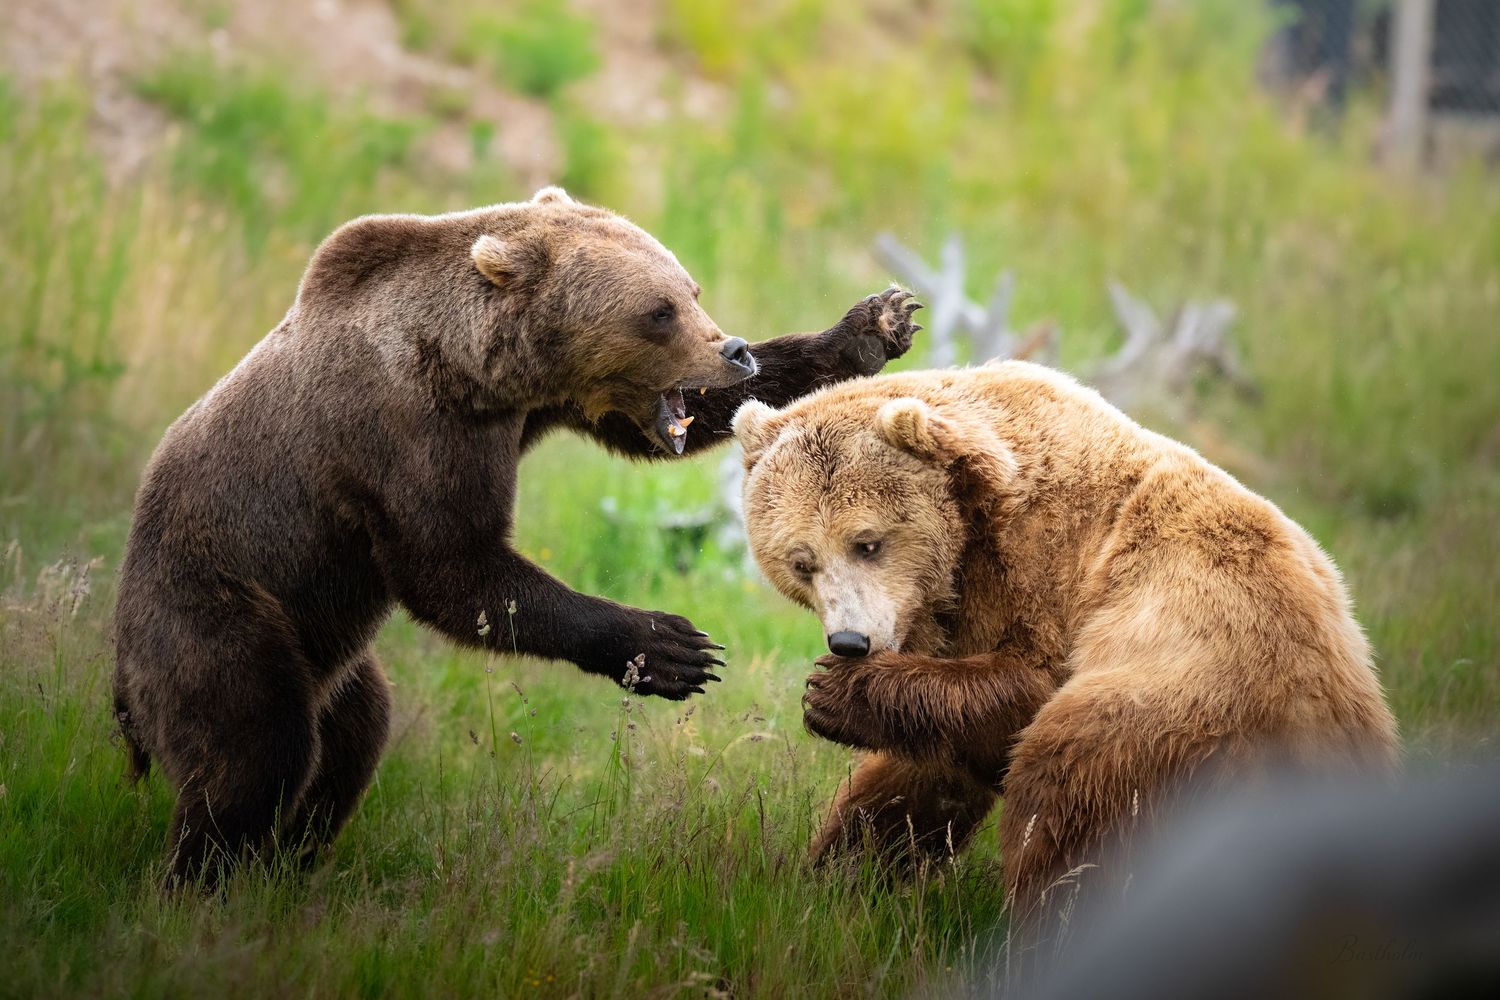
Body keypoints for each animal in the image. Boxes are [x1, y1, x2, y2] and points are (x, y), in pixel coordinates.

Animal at [111, 185, 923, 886]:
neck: (471, 367)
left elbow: (669, 429)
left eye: (690, 291)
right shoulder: (400, 434)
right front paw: (666, 646)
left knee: (352, 736)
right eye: (659, 310)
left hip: (327, 651)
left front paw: (874, 326)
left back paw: (292, 861)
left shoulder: (537, 404)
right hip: (222, 609)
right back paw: (204, 880)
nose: (734, 348)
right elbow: (452, 567)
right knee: (255, 749)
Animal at [732, 361, 1398, 931]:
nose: (849, 642)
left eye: (867, 543)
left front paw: (831, 695)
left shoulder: (1047, 563)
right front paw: (835, 873)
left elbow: (1021, 690)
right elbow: (918, 779)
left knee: (1066, 795)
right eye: (801, 561)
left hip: (1178, 704)